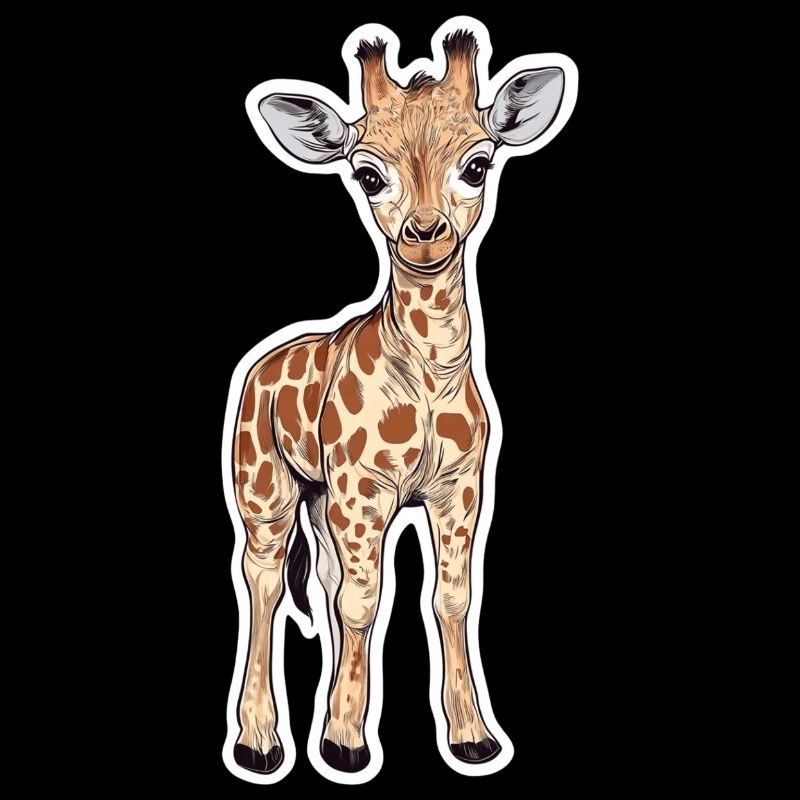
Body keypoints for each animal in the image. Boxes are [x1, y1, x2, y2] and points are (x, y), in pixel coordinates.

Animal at [226, 21, 574, 781]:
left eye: (478, 164)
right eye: (366, 173)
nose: (425, 234)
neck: (430, 374)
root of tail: (260, 363)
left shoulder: (458, 489)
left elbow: (450, 597)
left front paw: (473, 738)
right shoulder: (366, 489)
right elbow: (365, 601)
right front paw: (344, 745)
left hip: (320, 500)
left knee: (321, 583)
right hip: (265, 491)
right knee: (263, 582)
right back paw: (260, 745)